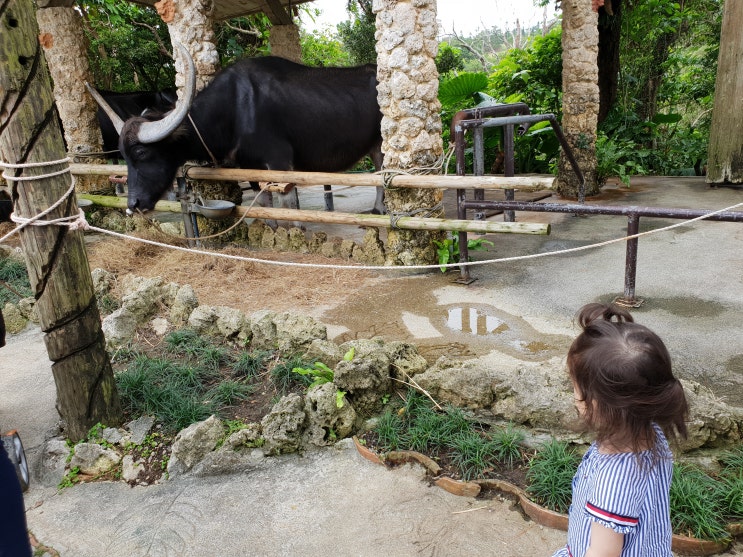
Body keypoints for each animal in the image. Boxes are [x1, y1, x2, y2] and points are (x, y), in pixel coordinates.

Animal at [88, 45, 384, 213]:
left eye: (141, 152)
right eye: (124, 157)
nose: (133, 206)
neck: (234, 109)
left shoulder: (280, 164)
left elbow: (289, 208)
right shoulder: (249, 166)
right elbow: (264, 206)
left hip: (381, 143)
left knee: (381, 173)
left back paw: (379, 210)